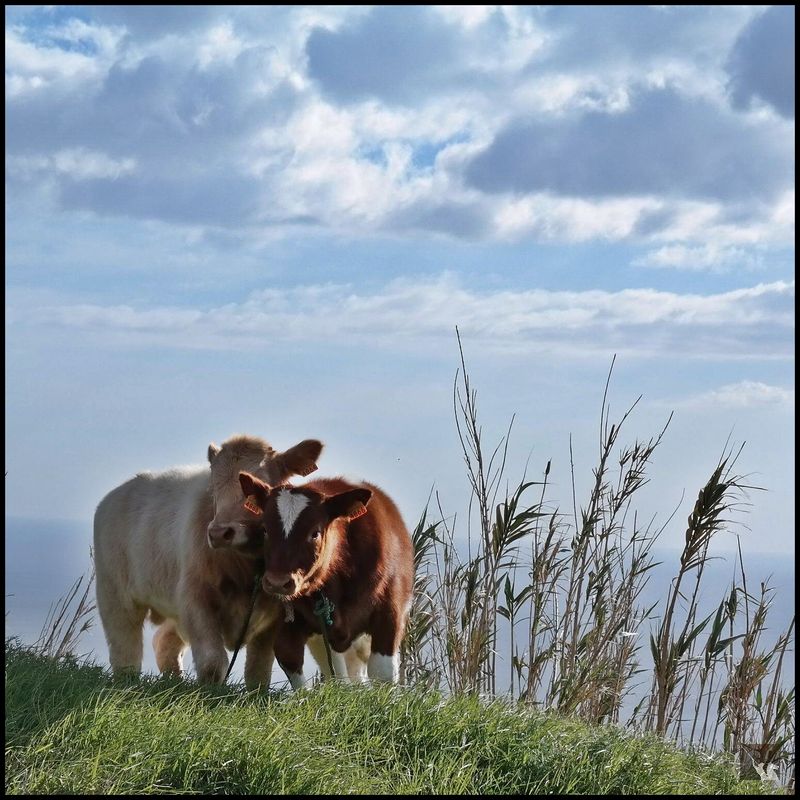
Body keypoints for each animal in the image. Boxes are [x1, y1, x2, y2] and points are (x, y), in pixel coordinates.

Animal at [97, 434, 324, 692]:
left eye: (258, 486)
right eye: (213, 489)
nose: (218, 533)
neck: (245, 571)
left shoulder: (274, 614)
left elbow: (258, 671)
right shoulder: (196, 599)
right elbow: (213, 663)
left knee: (164, 642)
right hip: (115, 595)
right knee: (125, 649)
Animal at [236, 476, 412, 688]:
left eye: (315, 533)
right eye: (265, 530)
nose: (278, 582)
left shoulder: (389, 613)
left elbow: (383, 672)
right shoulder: (294, 622)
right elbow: (292, 658)